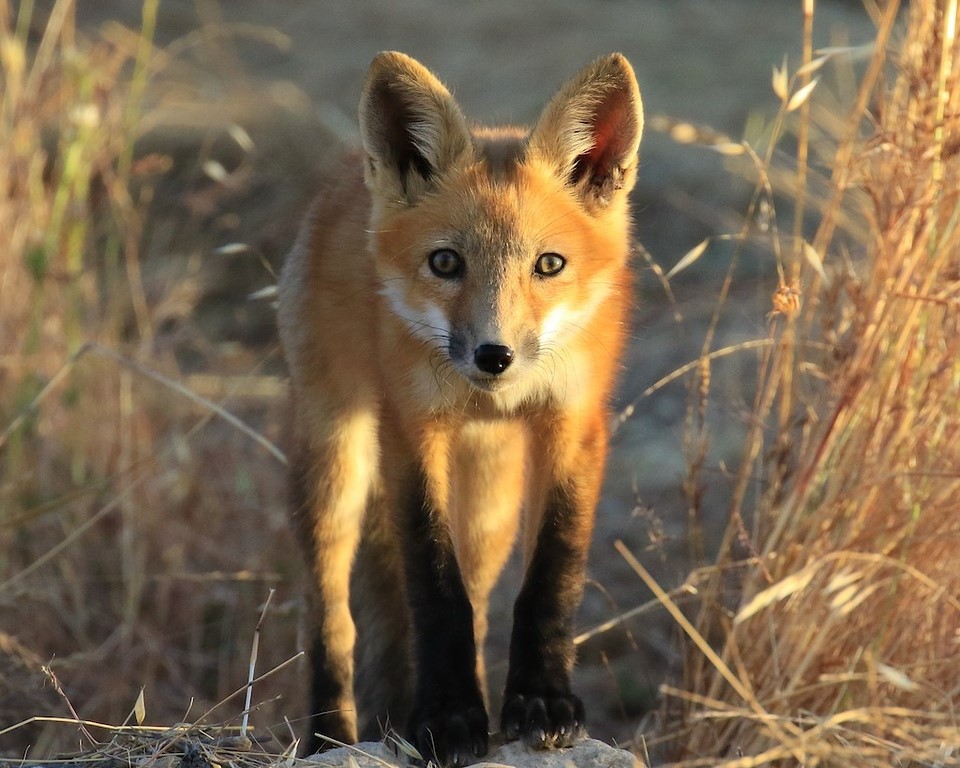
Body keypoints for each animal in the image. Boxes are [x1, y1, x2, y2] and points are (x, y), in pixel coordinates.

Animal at [278, 51, 644, 764]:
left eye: (549, 264)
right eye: (445, 262)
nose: (493, 356)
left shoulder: (574, 424)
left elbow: (552, 575)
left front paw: (541, 703)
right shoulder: (409, 432)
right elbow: (433, 588)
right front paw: (446, 717)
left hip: (489, 507)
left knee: (473, 602)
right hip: (338, 460)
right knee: (330, 614)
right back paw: (330, 735)